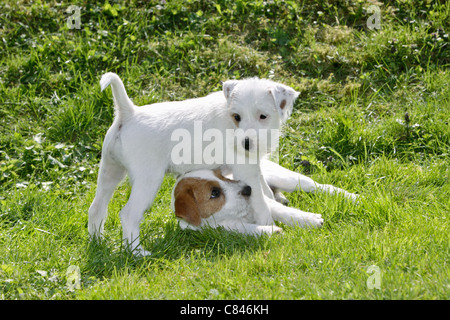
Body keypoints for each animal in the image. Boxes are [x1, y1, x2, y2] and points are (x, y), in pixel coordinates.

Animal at [87, 72, 298, 255]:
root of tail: (128, 113)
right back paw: (138, 252)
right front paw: (270, 227)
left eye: (263, 116)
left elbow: (266, 191)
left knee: (96, 207)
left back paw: (97, 243)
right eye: (236, 117)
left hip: (110, 171)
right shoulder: (246, 171)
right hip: (147, 180)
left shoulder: (253, 166)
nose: (245, 143)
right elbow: (261, 203)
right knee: (129, 214)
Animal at [172, 158, 358, 235]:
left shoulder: (264, 202)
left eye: (223, 176)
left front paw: (310, 220)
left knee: (320, 187)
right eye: (214, 193)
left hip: (288, 179)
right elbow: (247, 229)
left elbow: (284, 212)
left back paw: (350, 196)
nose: (248, 189)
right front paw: (271, 231)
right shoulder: (222, 229)